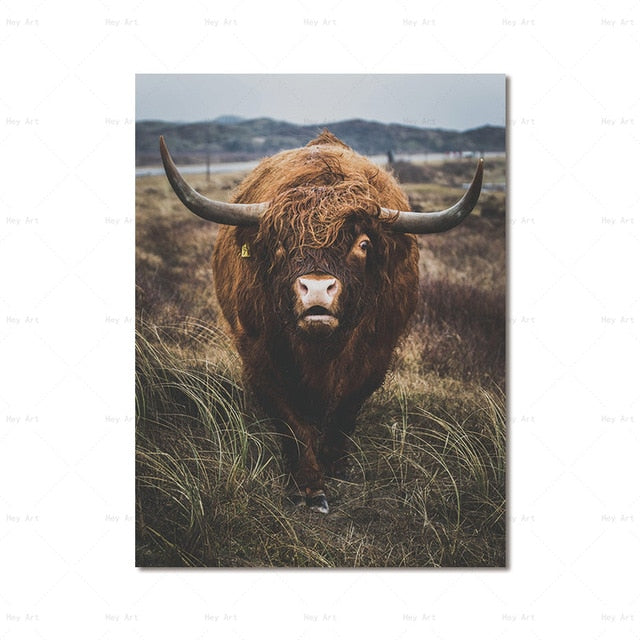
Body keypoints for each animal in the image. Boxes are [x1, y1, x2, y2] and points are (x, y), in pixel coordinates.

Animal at [159, 131, 483, 514]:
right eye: (280, 244)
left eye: (363, 244)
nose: (316, 288)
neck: (320, 355)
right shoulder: (258, 354)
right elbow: (291, 421)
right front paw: (310, 487)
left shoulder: (377, 353)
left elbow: (347, 407)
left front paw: (334, 462)